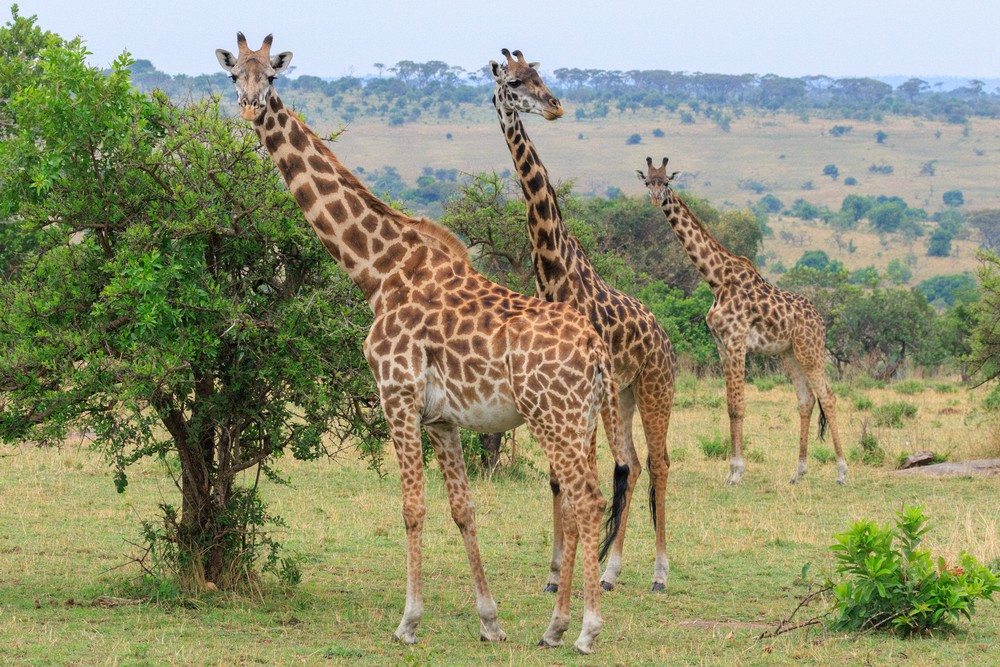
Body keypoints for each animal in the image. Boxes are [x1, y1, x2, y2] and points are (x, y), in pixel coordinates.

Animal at [216, 33, 630, 655]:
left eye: (271, 76)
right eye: (232, 74)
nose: (247, 106)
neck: (378, 269)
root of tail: (597, 350)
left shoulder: (397, 394)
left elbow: (412, 507)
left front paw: (408, 621)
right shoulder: (441, 418)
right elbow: (463, 509)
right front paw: (489, 620)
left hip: (552, 415)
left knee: (584, 497)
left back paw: (579, 628)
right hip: (580, 418)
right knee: (589, 494)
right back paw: (560, 623)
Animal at [491, 49, 675, 593]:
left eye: (540, 75)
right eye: (514, 82)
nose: (554, 106)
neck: (554, 271)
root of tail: (665, 338)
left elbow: (583, 476)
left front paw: (572, 572)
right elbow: (558, 477)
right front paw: (555, 573)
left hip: (655, 388)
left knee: (657, 462)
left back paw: (659, 572)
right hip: (625, 395)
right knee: (631, 464)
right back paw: (612, 571)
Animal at [637, 156, 847, 486]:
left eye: (667, 182)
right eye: (648, 181)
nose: (657, 199)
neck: (716, 279)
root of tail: (821, 321)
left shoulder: (736, 342)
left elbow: (738, 406)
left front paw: (736, 472)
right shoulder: (721, 344)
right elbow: (729, 406)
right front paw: (732, 469)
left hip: (810, 350)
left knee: (828, 396)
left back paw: (841, 470)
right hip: (789, 354)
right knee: (806, 400)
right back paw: (798, 472)